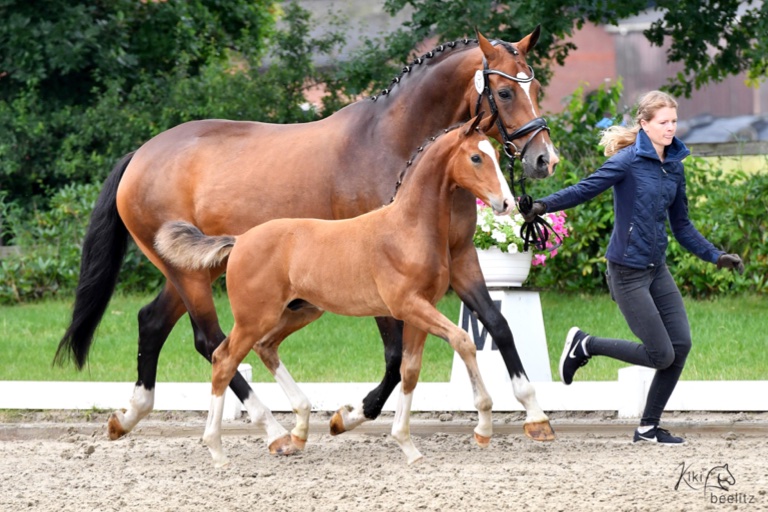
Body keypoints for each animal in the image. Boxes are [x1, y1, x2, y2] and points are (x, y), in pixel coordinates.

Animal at [155, 113, 511, 465]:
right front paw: (483, 428)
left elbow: (410, 370)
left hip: (301, 312)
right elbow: (463, 341)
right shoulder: (409, 306)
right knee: (224, 359)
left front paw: (407, 445)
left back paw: (298, 431)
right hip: (254, 318)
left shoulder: (421, 310)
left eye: (495, 153)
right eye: (476, 157)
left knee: (265, 347)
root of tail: (239, 240)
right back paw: (217, 449)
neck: (408, 228)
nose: (506, 202)